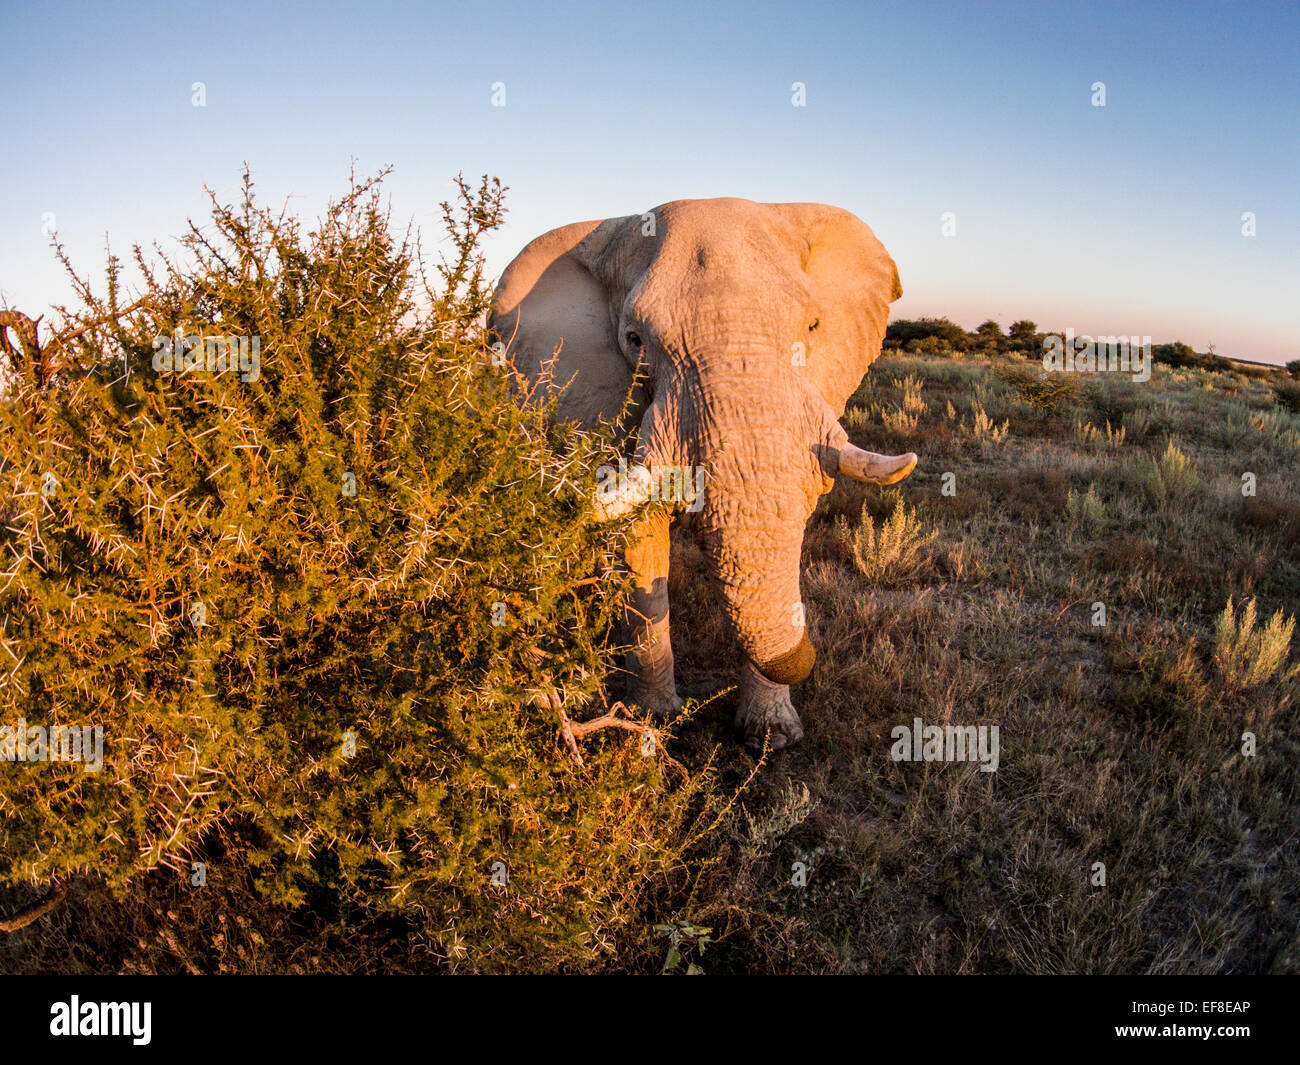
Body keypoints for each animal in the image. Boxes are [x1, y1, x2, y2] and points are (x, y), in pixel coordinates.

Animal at [488, 200, 915, 749]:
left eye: (815, 327)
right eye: (635, 341)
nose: (807, 655)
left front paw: (773, 738)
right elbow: (639, 535)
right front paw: (653, 723)